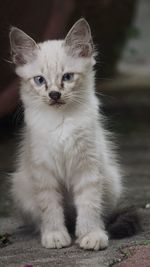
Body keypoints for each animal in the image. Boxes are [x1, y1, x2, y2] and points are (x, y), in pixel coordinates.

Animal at [9, 18, 122, 251]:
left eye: (67, 77)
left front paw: (90, 236)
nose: (54, 94)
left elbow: (89, 205)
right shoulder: (43, 172)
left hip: (112, 181)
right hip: (21, 187)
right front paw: (55, 236)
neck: (60, 121)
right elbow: (50, 208)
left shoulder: (87, 166)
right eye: (40, 80)